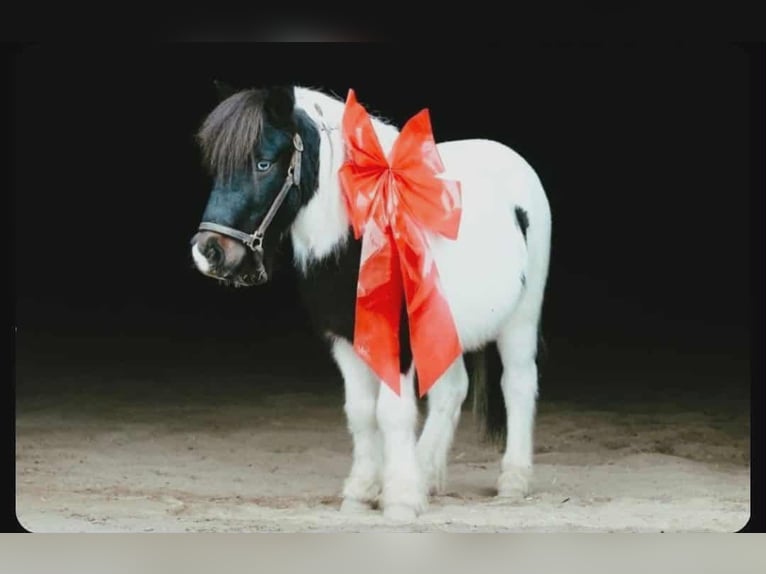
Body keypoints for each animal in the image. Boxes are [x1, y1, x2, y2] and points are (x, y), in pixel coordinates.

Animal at [189, 84, 552, 521]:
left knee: (517, 383)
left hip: (521, 318)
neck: (361, 239)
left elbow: (392, 413)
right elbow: (361, 412)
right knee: (452, 390)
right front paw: (362, 492)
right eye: (217, 168)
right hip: (442, 327)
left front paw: (400, 500)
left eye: (263, 163)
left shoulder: (398, 340)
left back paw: (512, 482)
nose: (208, 252)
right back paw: (425, 473)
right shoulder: (344, 339)